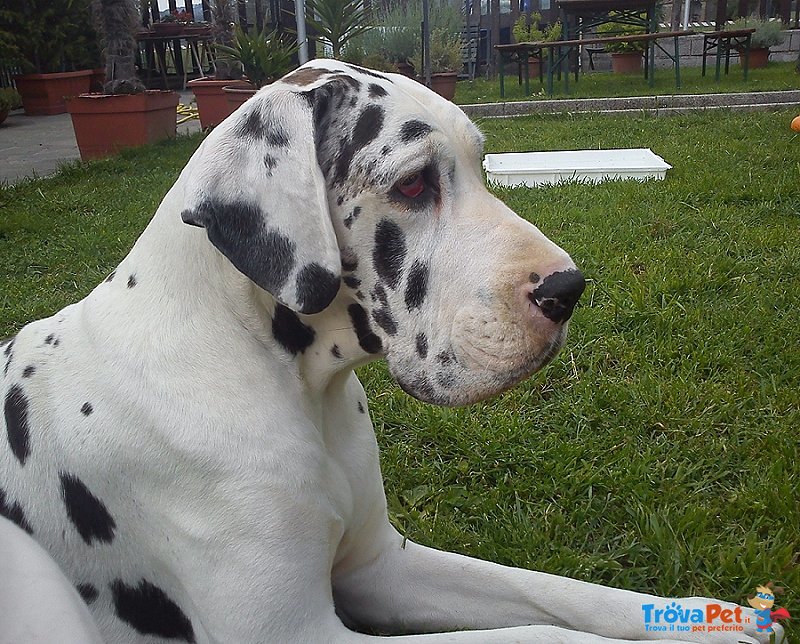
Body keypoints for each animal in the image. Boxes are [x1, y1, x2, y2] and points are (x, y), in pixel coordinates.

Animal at [0, 61, 780, 644]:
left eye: (481, 165)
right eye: (412, 183)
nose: (569, 289)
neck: (283, 381)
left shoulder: (385, 568)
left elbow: (563, 594)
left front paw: (717, 618)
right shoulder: (301, 635)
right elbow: (541, 634)